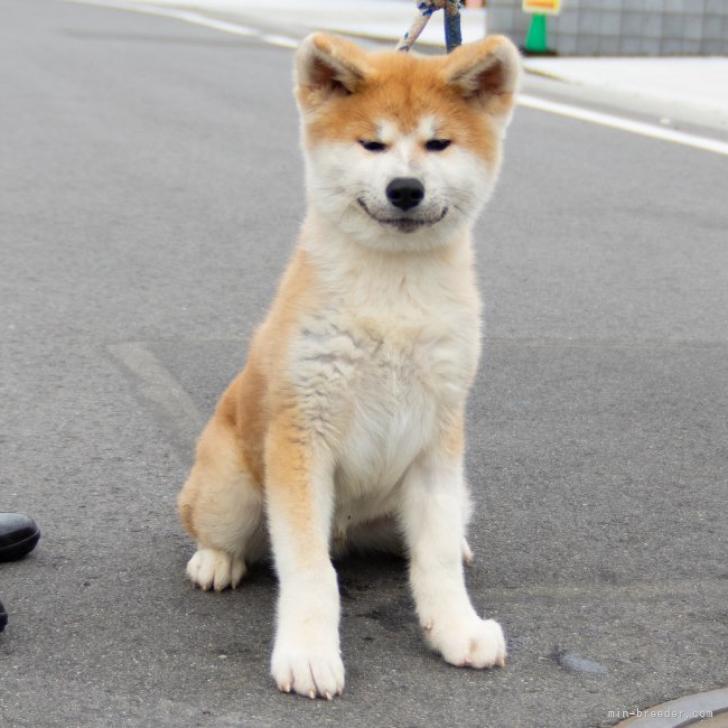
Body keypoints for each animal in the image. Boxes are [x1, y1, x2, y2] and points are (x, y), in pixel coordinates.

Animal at [179, 32, 520, 700]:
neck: (394, 292)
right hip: (232, 488)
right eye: (373, 144)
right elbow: (311, 571)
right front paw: (308, 653)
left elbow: (437, 558)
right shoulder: (301, 436)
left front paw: (456, 629)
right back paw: (215, 560)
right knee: (221, 532)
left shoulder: (438, 437)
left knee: (439, 539)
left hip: (436, 498)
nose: (405, 188)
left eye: (438, 143)